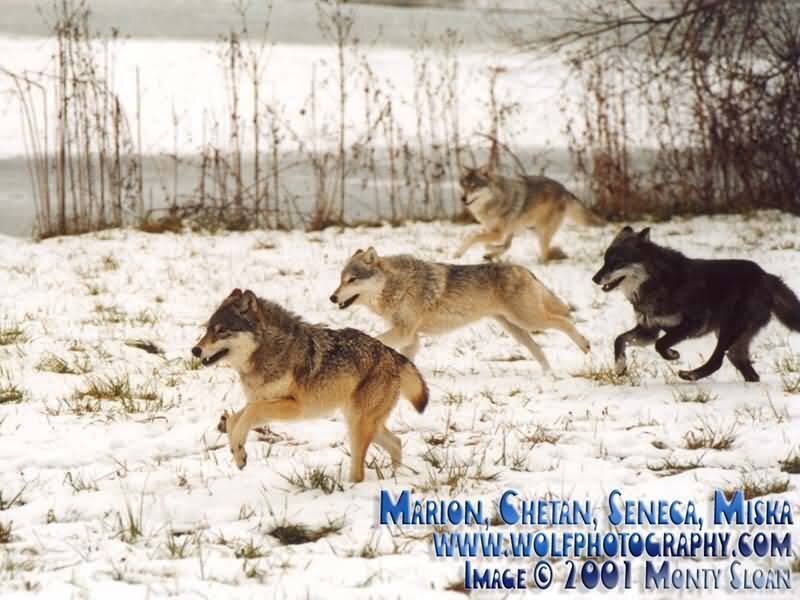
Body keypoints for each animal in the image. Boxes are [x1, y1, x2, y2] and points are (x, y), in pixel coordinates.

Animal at [191, 288, 429, 482]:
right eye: (207, 329)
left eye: (221, 330)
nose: (195, 350)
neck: (270, 352)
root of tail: (391, 353)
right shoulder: (261, 400)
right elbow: (235, 420)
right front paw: (238, 454)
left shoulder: (295, 407)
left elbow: (249, 414)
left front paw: (239, 447)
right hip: (361, 423)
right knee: (396, 442)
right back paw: (394, 477)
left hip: (358, 425)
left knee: (360, 472)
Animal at [330, 247, 590, 371]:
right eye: (341, 279)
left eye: (352, 280)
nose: (332, 297)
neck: (398, 285)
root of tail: (524, 270)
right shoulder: (411, 338)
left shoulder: (404, 332)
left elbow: (376, 340)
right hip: (517, 330)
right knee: (539, 351)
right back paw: (549, 376)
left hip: (530, 321)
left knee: (564, 321)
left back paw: (585, 346)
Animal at [455, 166, 604, 262]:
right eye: (464, 185)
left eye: (474, 186)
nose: (462, 198)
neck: (496, 200)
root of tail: (565, 189)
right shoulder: (494, 230)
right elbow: (481, 238)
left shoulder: (498, 233)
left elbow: (472, 237)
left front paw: (457, 254)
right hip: (528, 228)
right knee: (508, 245)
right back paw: (491, 255)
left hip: (541, 233)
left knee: (544, 256)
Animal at [593, 226, 800, 382]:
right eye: (604, 261)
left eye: (617, 262)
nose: (594, 279)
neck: (656, 281)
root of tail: (766, 276)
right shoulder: (648, 330)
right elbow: (619, 339)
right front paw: (620, 367)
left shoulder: (692, 324)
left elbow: (660, 344)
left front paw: (672, 355)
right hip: (733, 339)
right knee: (746, 368)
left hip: (728, 331)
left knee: (717, 361)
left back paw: (691, 375)